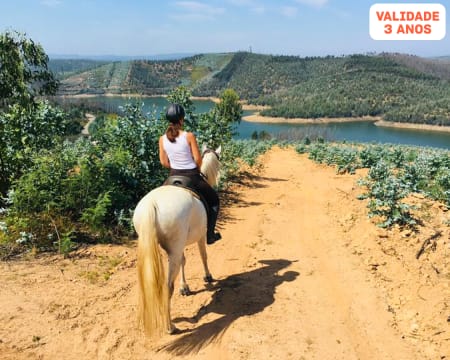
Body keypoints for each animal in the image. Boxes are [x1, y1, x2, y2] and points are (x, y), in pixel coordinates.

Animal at [134, 147, 221, 338]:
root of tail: (152, 204)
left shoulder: (180, 245)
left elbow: (184, 261)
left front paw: (185, 287)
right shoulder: (201, 235)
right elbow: (203, 255)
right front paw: (208, 276)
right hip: (175, 246)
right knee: (167, 287)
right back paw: (170, 326)